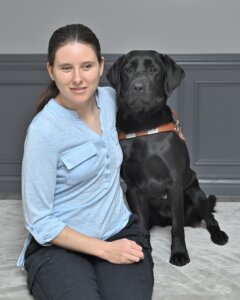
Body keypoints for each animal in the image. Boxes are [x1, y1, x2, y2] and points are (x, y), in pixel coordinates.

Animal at [107, 50, 229, 266]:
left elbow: (177, 227)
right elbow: (142, 227)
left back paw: (218, 234)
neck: (143, 126)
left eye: (153, 69)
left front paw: (179, 253)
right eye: (128, 70)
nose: (138, 86)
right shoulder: (133, 188)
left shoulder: (174, 184)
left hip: (196, 194)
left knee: (209, 219)